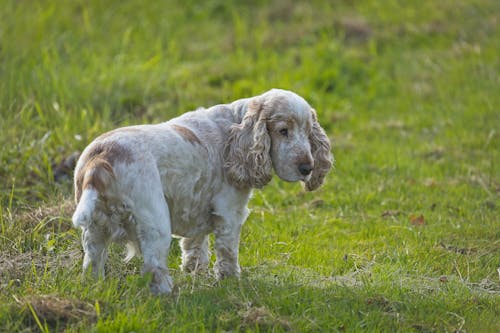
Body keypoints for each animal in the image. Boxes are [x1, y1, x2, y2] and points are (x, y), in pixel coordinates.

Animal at [71, 88, 332, 294]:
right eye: (283, 130)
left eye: (308, 131)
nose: (307, 168)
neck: (235, 128)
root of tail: (101, 160)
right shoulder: (230, 212)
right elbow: (228, 253)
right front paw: (231, 282)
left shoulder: (195, 205)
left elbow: (195, 245)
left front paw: (194, 272)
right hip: (155, 223)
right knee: (153, 267)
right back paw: (169, 295)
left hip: (94, 230)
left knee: (92, 262)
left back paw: (95, 286)